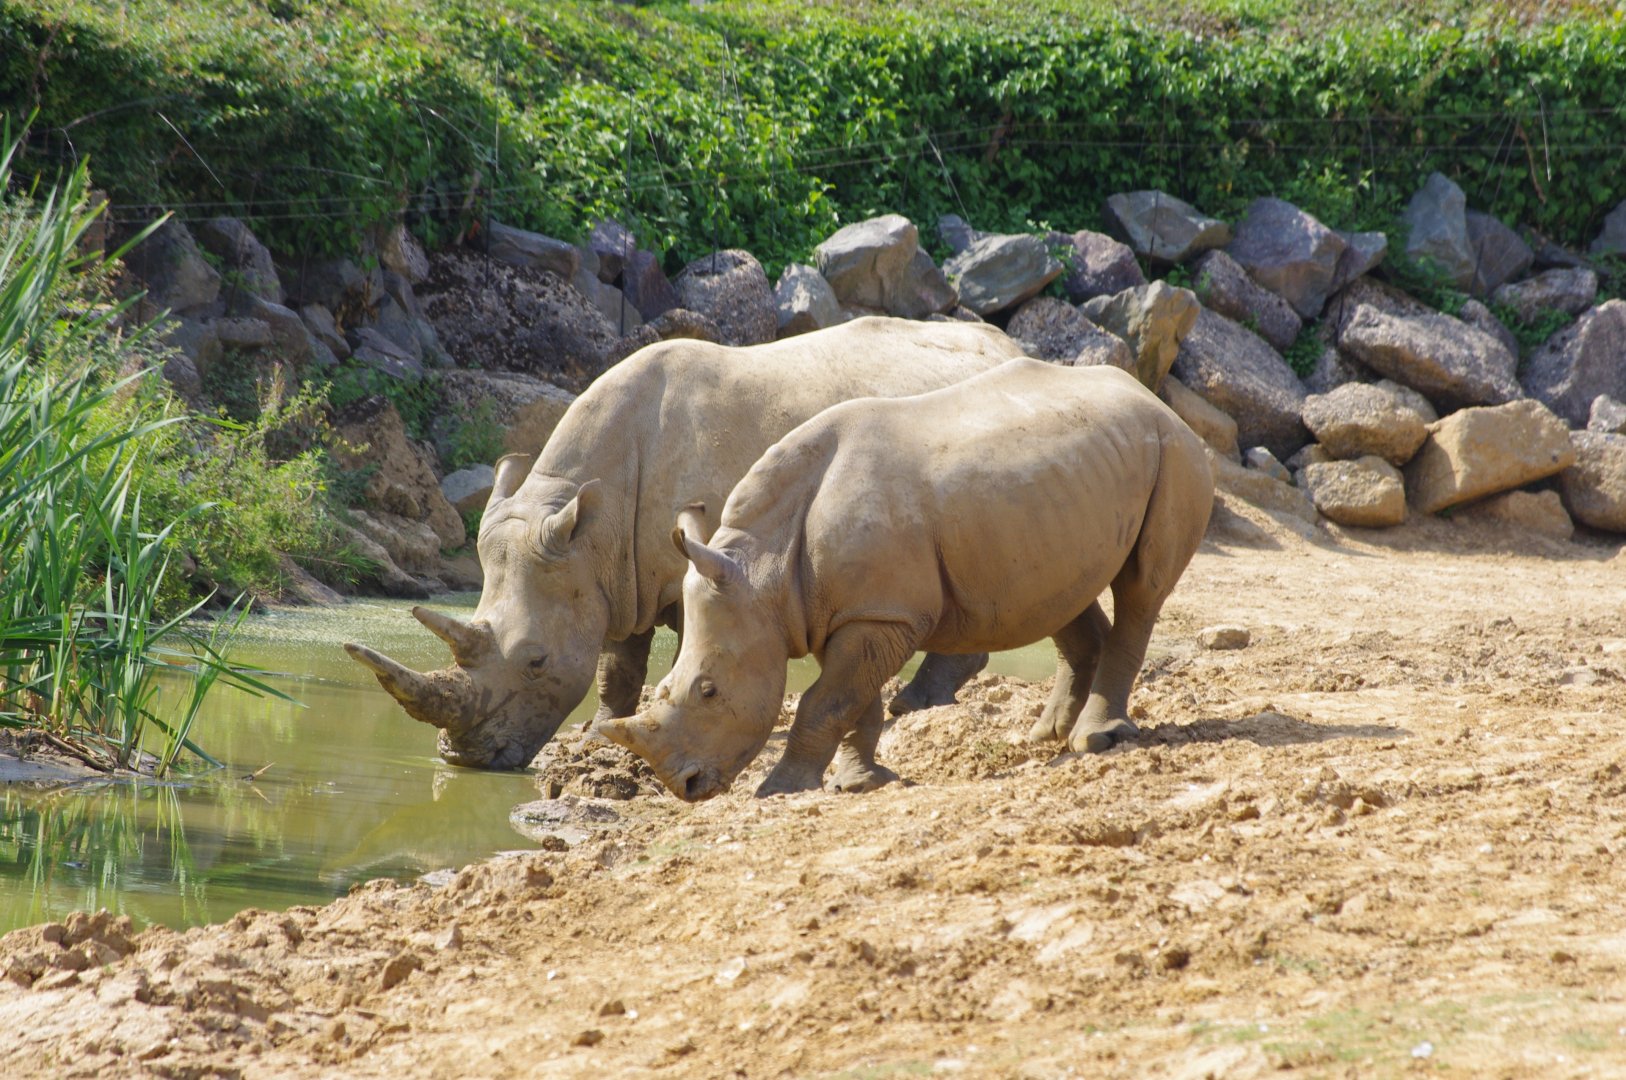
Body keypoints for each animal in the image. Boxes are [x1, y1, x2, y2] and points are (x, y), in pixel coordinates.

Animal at [343, 317, 1026, 769]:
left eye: (536, 662)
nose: (463, 758)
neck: (587, 522)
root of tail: (1012, 345)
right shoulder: (615, 572)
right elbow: (618, 662)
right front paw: (601, 733)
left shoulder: (685, 564)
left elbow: (678, 655)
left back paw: (917, 704)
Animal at [598, 359, 1214, 801]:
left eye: (708, 691)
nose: (686, 788)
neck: (761, 571)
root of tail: (1155, 400)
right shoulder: (844, 610)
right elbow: (851, 701)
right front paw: (858, 783)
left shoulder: (880, 613)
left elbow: (824, 701)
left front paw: (781, 791)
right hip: (1065, 487)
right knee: (1063, 594)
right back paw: (1049, 737)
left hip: (1174, 452)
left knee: (1140, 589)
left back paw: (1094, 741)